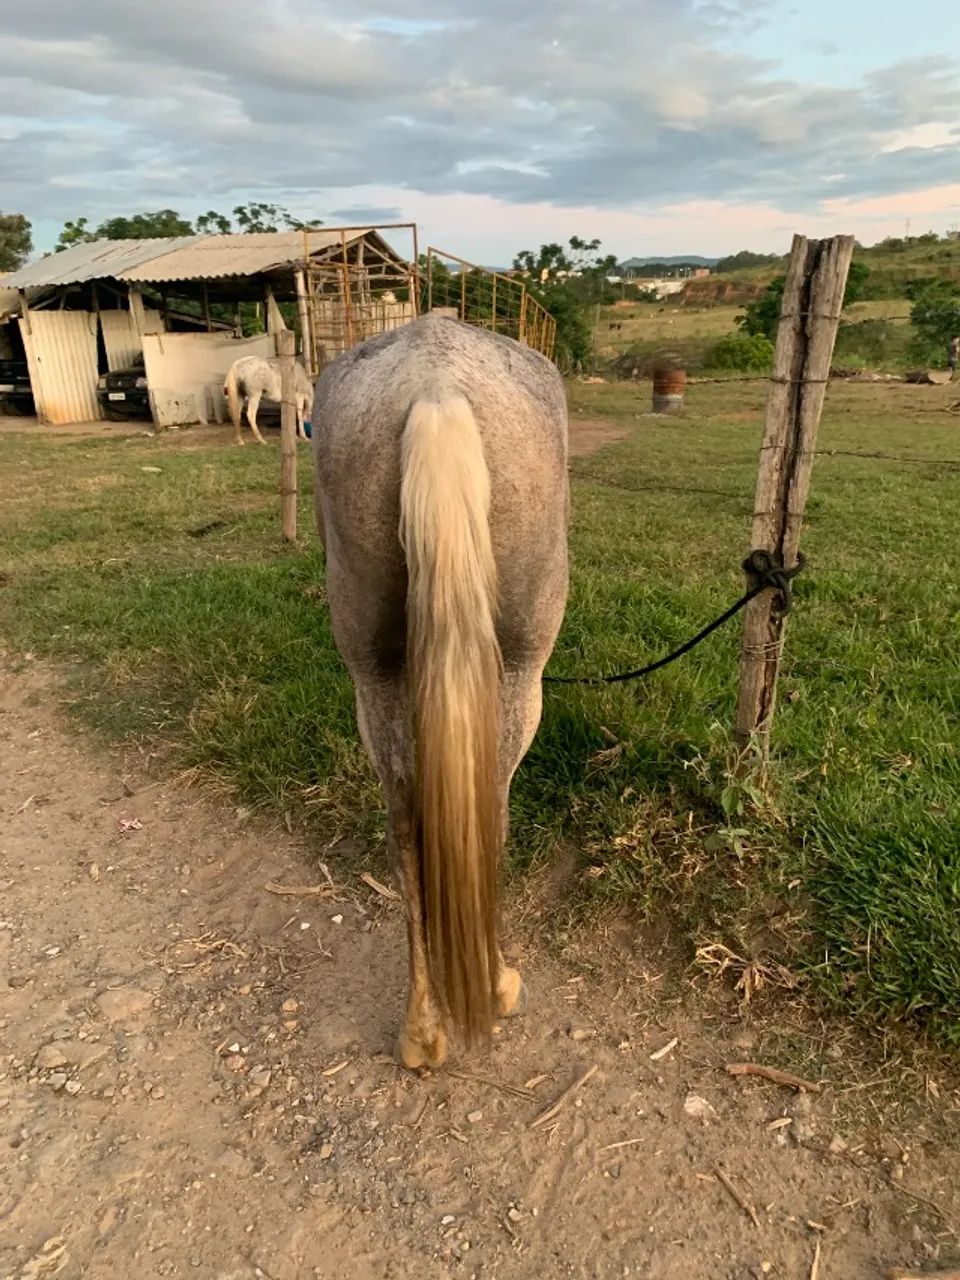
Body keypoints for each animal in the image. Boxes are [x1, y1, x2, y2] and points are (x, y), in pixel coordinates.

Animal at [312, 313, 569, 1069]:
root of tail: (434, 388)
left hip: (374, 677)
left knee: (405, 823)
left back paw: (422, 1030)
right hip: (518, 676)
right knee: (492, 807)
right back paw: (495, 986)